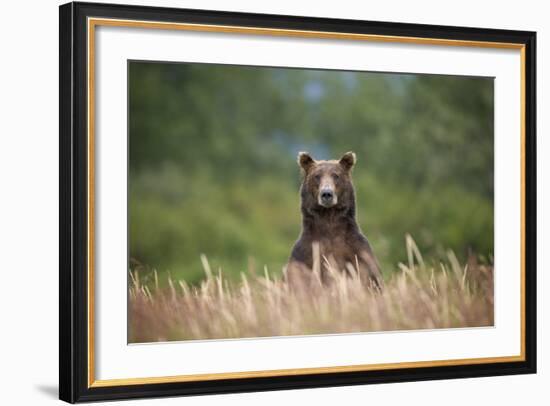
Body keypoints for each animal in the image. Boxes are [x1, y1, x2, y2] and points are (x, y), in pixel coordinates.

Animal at [286, 151, 386, 288]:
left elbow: (371, 278)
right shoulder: (305, 255)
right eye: (317, 176)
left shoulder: (358, 252)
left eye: (336, 175)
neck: (329, 217)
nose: (327, 194)